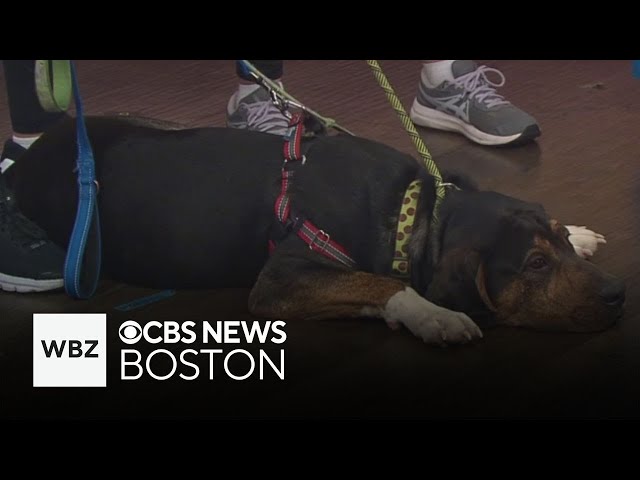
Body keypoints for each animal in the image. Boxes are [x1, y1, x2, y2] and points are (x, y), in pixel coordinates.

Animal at [8, 116, 624, 346]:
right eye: (535, 265)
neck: (416, 212)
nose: (620, 295)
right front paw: (434, 315)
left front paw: (579, 230)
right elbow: (384, 283)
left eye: (557, 247)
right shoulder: (281, 279)